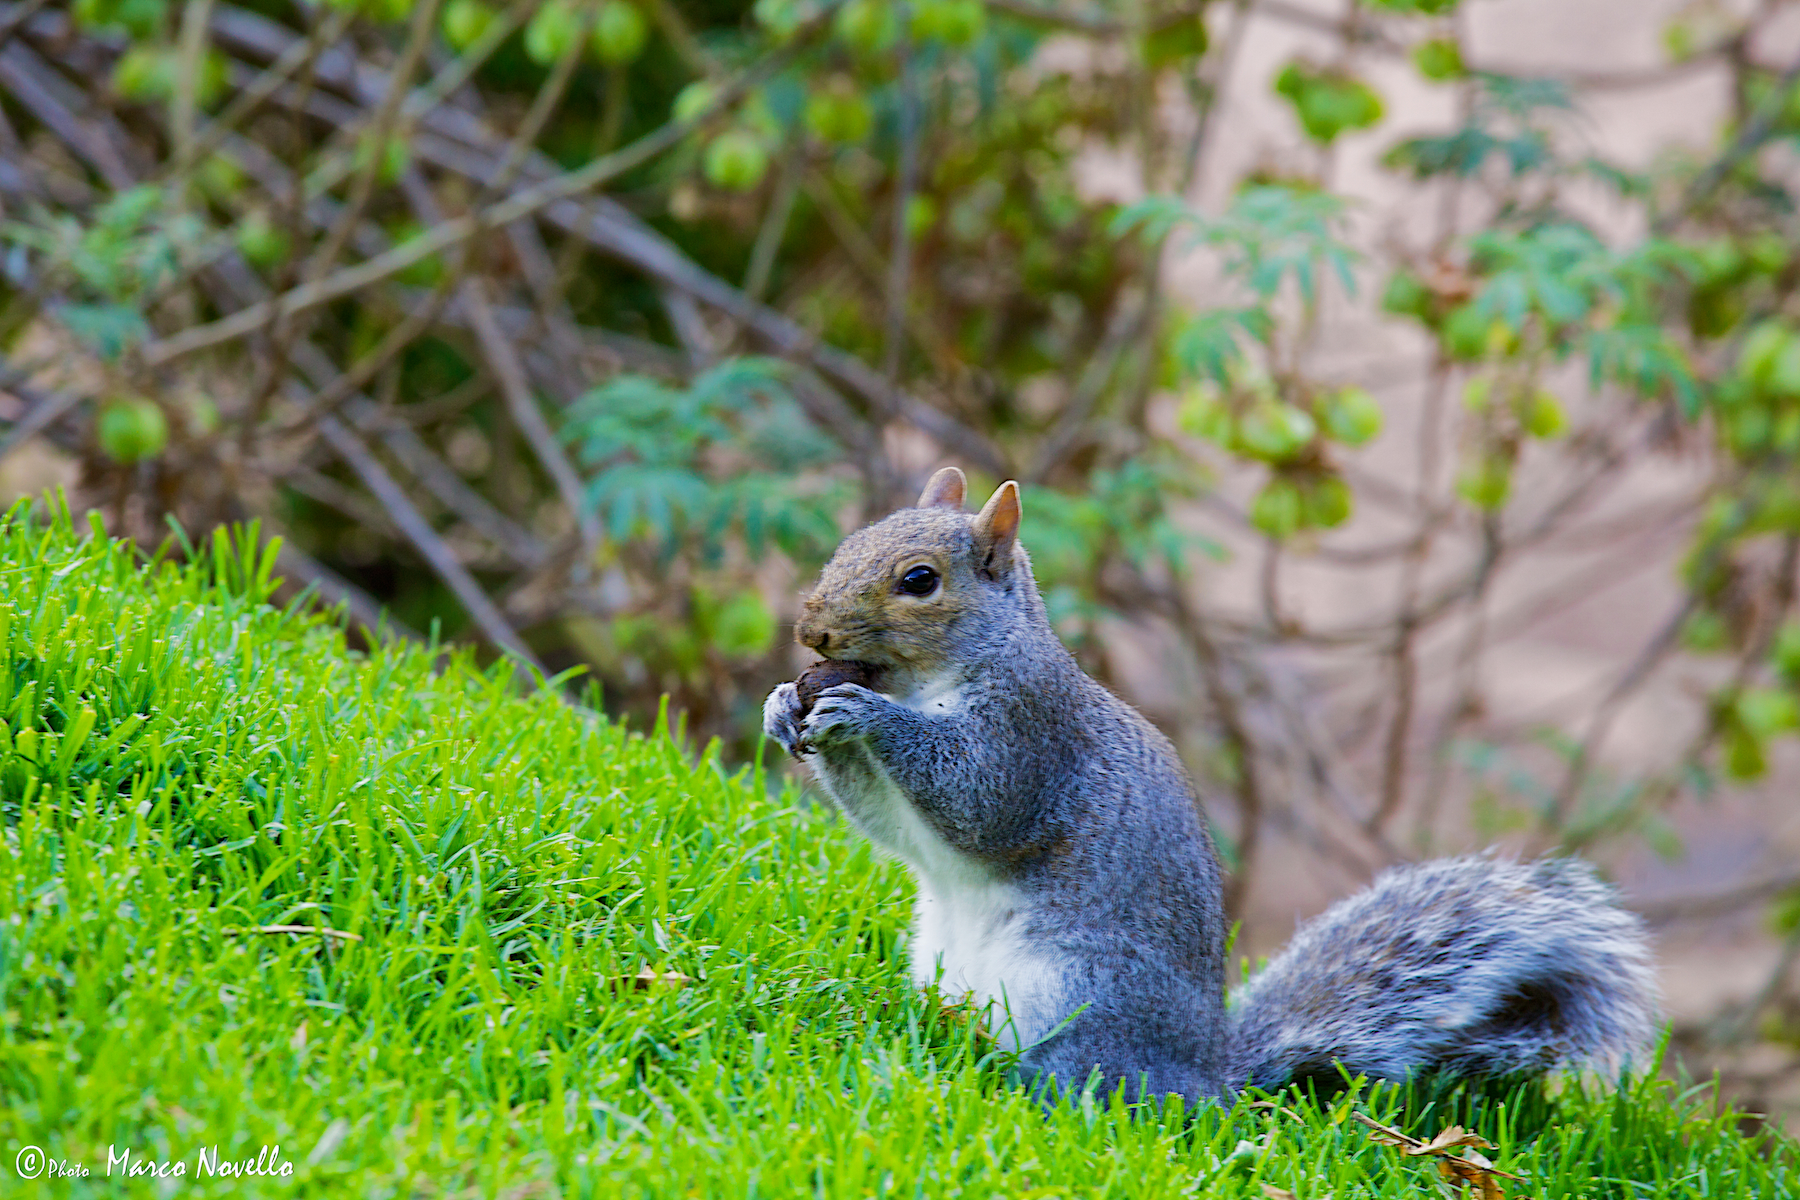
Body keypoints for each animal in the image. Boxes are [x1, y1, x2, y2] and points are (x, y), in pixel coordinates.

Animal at [762, 467, 1659, 1105]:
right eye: (853, 538)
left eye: (919, 581)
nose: (812, 631)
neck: (929, 678)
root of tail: (1211, 1077)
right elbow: (891, 823)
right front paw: (785, 706)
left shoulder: (1031, 734)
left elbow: (979, 801)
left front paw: (865, 713)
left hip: (1083, 998)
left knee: (1092, 1082)